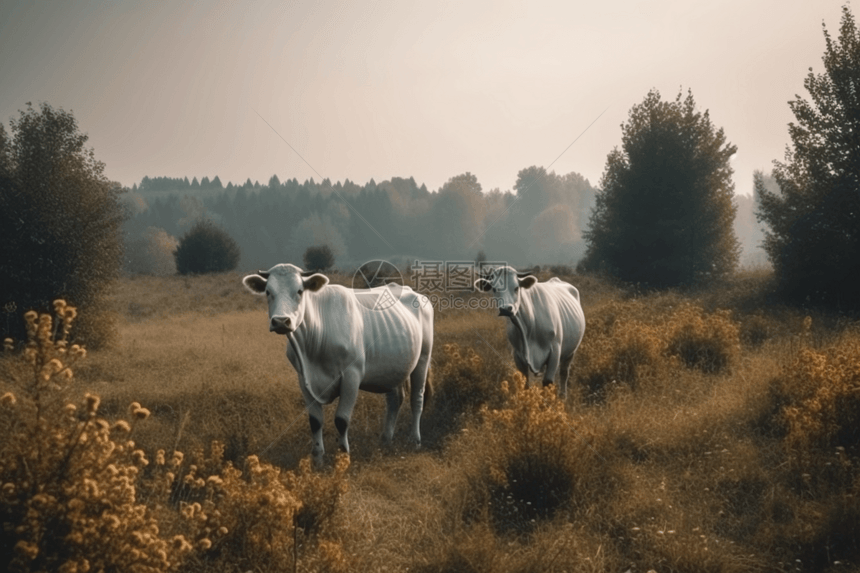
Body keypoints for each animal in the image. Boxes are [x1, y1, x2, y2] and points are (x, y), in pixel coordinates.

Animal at [244, 262, 434, 462]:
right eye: (267, 291)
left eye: (299, 291)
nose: (281, 321)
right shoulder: (303, 379)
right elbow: (315, 422)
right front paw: (318, 459)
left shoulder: (352, 375)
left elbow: (342, 420)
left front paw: (343, 457)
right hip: (392, 368)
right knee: (394, 400)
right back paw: (386, 440)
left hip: (423, 358)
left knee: (417, 399)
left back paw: (415, 440)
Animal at [474, 266, 588, 396]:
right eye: (494, 289)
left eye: (516, 287)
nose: (506, 309)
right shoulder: (517, 355)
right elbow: (525, 384)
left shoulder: (555, 351)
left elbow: (547, 382)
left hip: (570, 352)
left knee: (564, 373)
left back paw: (563, 396)